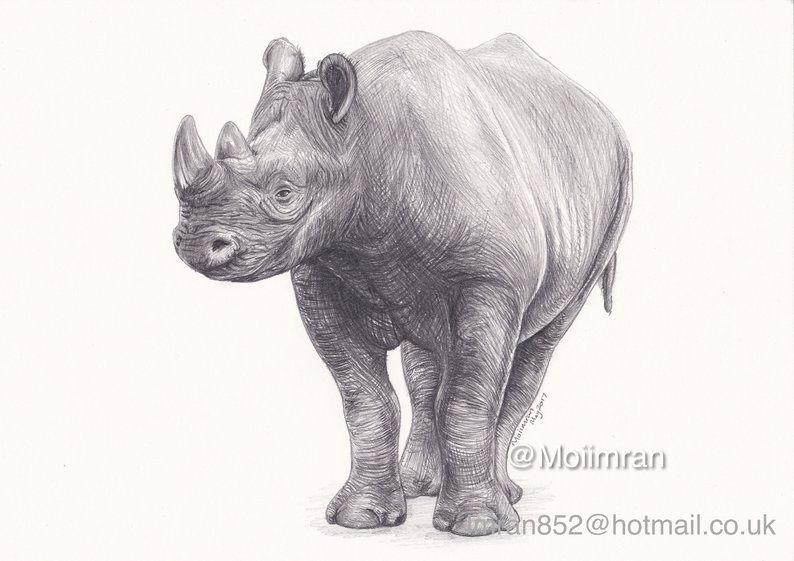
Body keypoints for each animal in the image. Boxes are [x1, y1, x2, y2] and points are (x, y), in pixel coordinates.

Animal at [172, 31, 632, 536]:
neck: (363, 141)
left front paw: (476, 525)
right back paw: (421, 486)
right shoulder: (321, 274)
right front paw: (360, 518)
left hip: (611, 200)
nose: (194, 245)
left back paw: (504, 499)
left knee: (540, 344)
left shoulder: (491, 279)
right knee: (427, 367)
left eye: (284, 193)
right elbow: (366, 401)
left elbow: (468, 400)